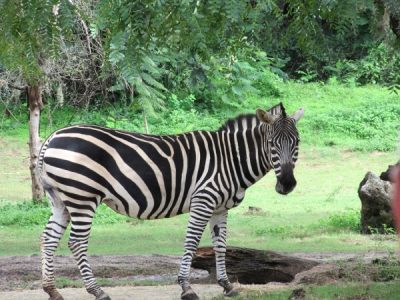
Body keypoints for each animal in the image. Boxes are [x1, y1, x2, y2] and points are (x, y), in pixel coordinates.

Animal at [39, 102, 304, 298]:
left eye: (297, 143)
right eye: (271, 144)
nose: (287, 184)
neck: (231, 159)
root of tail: (52, 137)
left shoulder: (220, 208)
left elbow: (220, 245)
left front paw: (227, 286)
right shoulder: (203, 200)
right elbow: (192, 242)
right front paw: (187, 288)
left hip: (61, 200)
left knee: (49, 238)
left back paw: (52, 291)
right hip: (83, 196)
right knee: (77, 242)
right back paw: (98, 291)